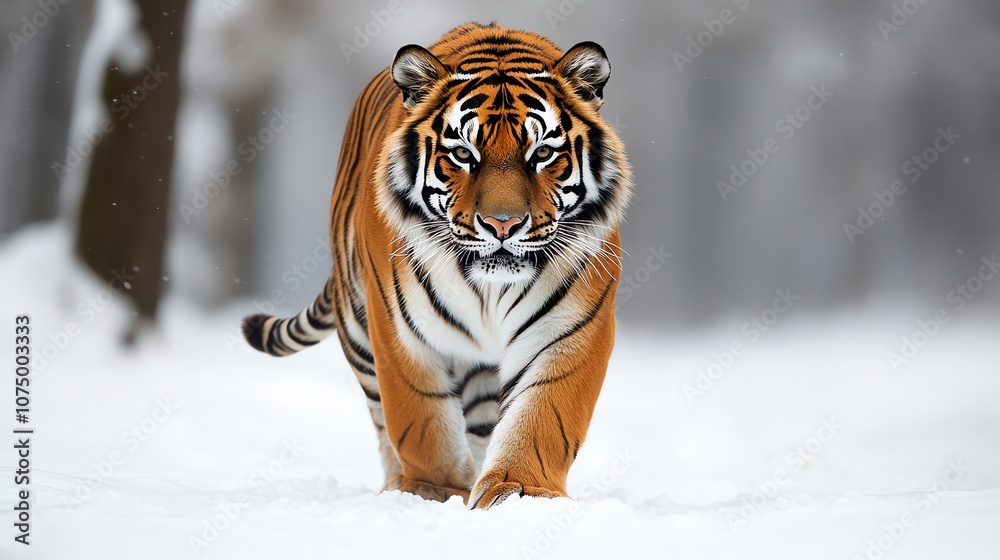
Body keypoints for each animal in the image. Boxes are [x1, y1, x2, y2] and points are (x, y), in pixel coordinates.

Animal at [242, 22, 632, 509]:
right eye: (463, 155)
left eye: (541, 154)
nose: (502, 224)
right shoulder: (401, 330)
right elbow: (420, 418)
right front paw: (433, 491)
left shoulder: (570, 328)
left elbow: (544, 412)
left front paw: (521, 492)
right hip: (359, 334)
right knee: (384, 420)